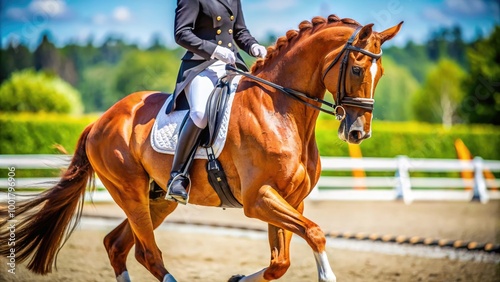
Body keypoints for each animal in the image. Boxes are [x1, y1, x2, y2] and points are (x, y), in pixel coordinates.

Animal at [0, 16, 402, 282]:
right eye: (357, 69)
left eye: (380, 74)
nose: (358, 133)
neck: (281, 109)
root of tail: (101, 120)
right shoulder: (259, 199)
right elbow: (315, 234)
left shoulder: (291, 200)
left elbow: (279, 263)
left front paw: (238, 278)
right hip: (130, 192)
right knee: (148, 252)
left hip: (157, 199)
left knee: (117, 245)